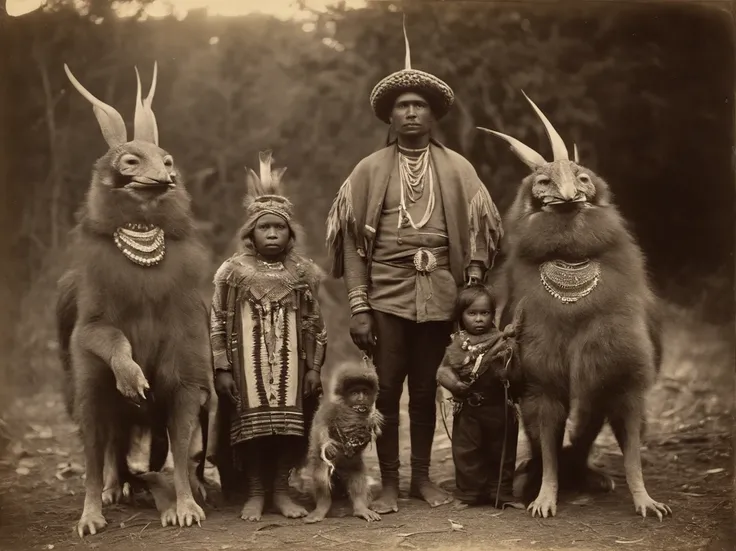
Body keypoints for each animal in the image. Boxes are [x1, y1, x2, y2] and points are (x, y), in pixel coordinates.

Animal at [304, 360, 386, 524]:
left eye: (364, 392)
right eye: (354, 393)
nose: (361, 398)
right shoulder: (330, 408)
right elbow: (321, 426)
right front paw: (328, 445)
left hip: (352, 467)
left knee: (357, 476)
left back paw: (361, 508)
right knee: (322, 474)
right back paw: (321, 509)